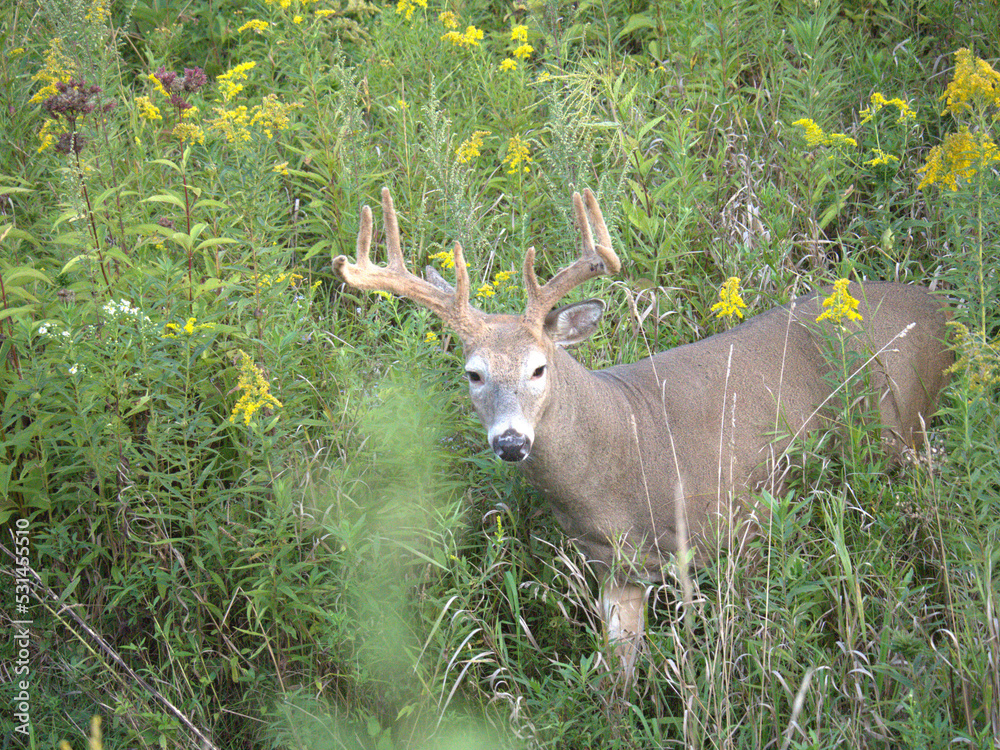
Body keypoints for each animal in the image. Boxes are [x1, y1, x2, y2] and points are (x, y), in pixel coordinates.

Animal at [333, 187, 953, 681]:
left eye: (539, 368)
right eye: (473, 373)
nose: (511, 443)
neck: (620, 455)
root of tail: (940, 305)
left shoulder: (740, 524)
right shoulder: (614, 565)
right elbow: (618, 675)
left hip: (907, 432)